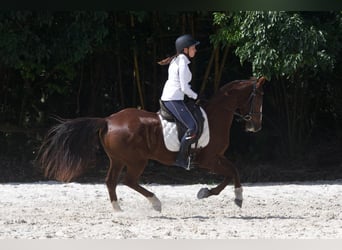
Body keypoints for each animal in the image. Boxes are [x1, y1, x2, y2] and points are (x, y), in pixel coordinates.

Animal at [38, 75, 266, 211]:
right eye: (259, 98)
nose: (256, 126)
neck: (215, 116)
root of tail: (108, 120)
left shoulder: (216, 157)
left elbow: (231, 172)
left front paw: (208, 192)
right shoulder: (208, 159)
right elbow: (233, 171)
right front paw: (237, 197)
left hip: (117, 159)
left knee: (111, 181)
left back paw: (118, 209)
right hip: (136, 160)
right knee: (128, 181)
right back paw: (155, 202)